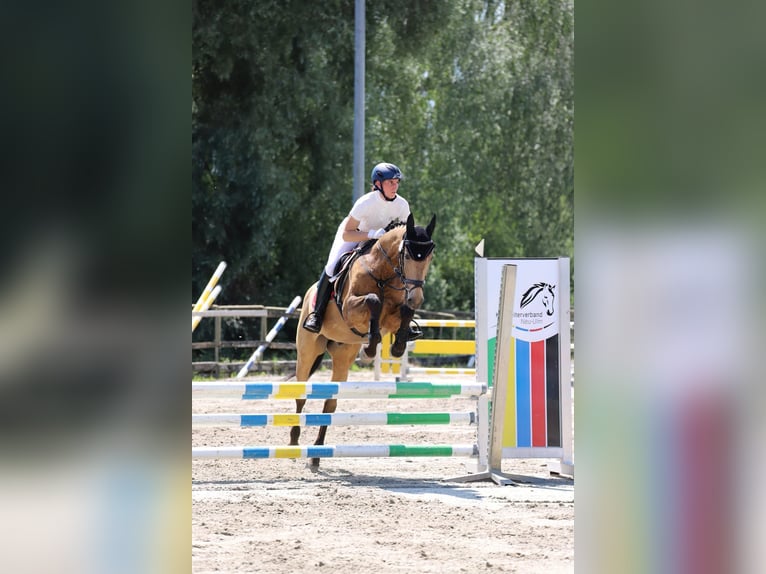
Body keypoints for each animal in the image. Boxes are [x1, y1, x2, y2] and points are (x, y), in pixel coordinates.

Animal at [292, 212, 438, 468]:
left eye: (429, 256)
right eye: (407, 255)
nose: (417, 297)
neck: (383, 274)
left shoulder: (393, 315)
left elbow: (403, 312)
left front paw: (396, 345)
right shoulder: (351, 308)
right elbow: (373, 300)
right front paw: (371, 347)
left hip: (343, 356)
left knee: (330, 404)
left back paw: (316, 455)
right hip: (308, 351)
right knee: (301, 393)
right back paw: (292, 442)